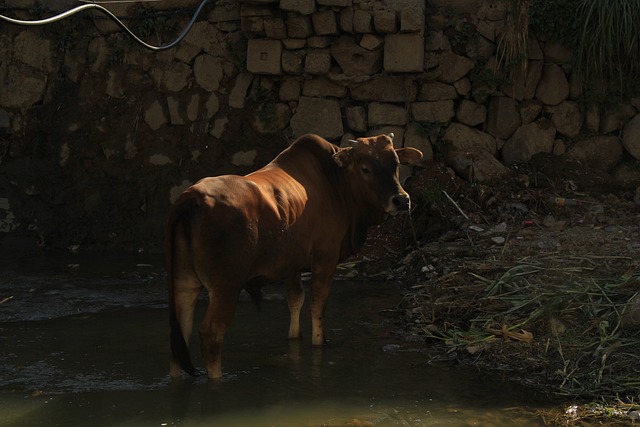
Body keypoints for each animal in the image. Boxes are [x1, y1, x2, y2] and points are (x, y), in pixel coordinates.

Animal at [166, 133, 424, 378]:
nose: (401, 200)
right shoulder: (325, 257)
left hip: (184, 283)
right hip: (226, 287)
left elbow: (295, 300)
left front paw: (294, 336)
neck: (336, 182)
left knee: (180, 335)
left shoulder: (291, 265)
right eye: (365, 168)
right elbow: (318, 304)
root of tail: (193, 196)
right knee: (211, 335)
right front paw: (319, 341)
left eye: (396, 163)